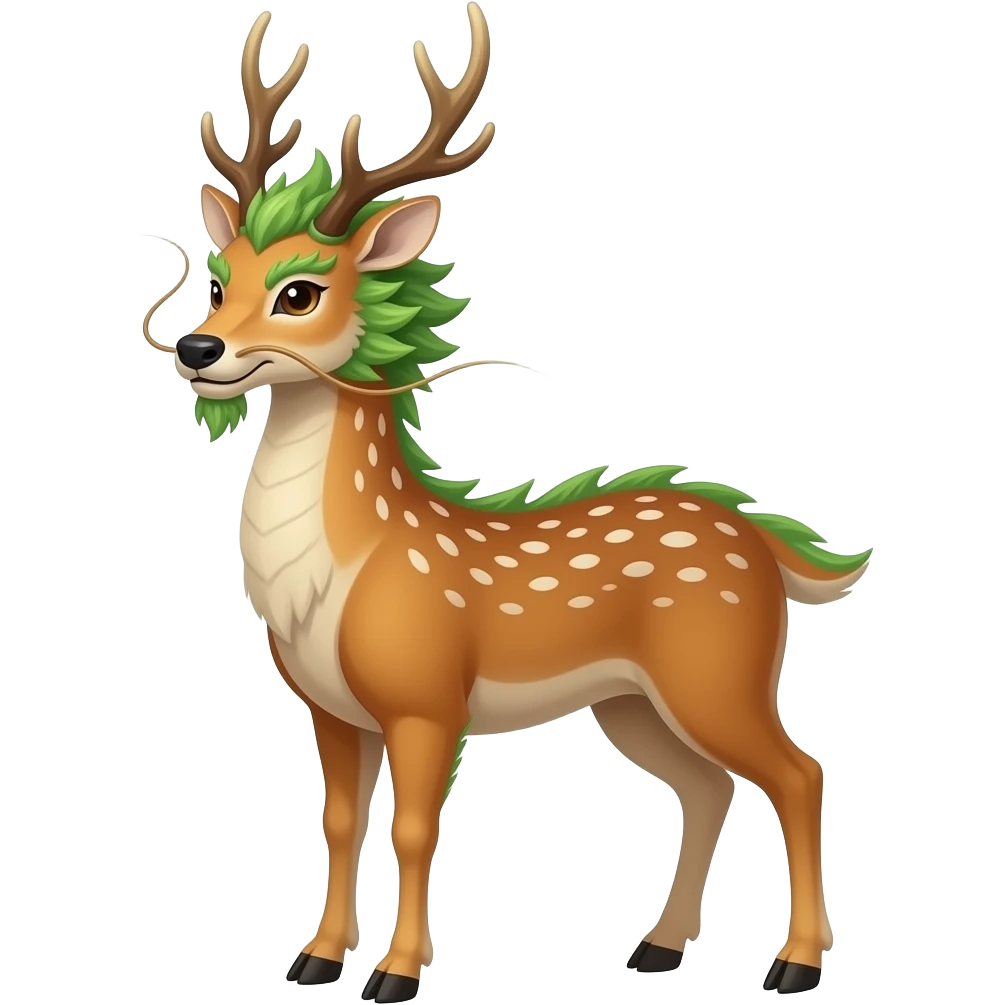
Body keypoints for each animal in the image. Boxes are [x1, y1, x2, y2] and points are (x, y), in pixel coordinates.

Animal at [135, 4, 874, 999]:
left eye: (299, 291)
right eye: (219, 278)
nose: (197, 346)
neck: (336, 579)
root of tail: (768, 547)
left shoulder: (426, 696)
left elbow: (413, 830)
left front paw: (397, 972)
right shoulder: (328, 705)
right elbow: (337, 824)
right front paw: (315, 958)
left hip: (719, 667)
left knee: (798, 774)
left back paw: (792, 964)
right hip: (631, 701)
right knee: (707, 785)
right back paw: (657, 946)